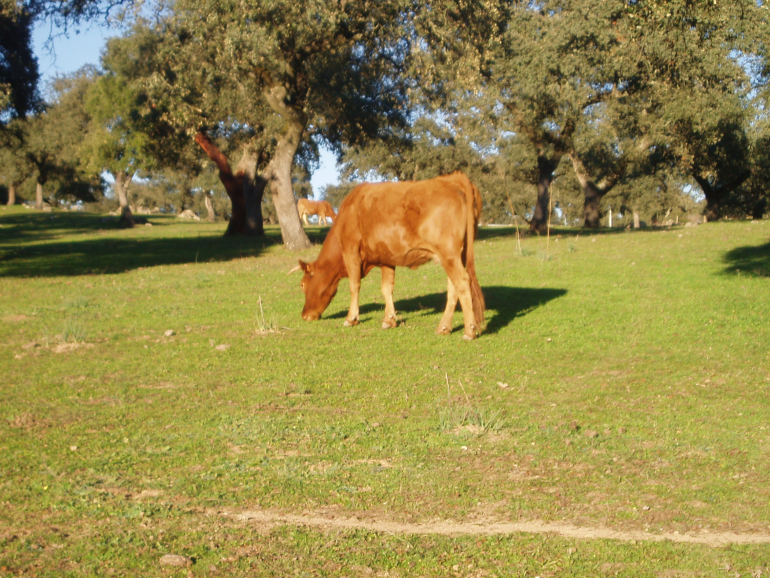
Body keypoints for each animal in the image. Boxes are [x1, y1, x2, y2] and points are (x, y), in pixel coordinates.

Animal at [289, 171, 485, 340]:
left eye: (302, 285)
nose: (304, 315)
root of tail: (454, 178)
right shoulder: (386, 257)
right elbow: (386, 288)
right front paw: (389, 320)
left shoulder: (351, 250)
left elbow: (354, 285)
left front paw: (351, 318)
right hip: (455, 255)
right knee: (453, 288)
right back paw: (443, 327)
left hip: (449, 254)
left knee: (462, 282)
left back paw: (469, 331)